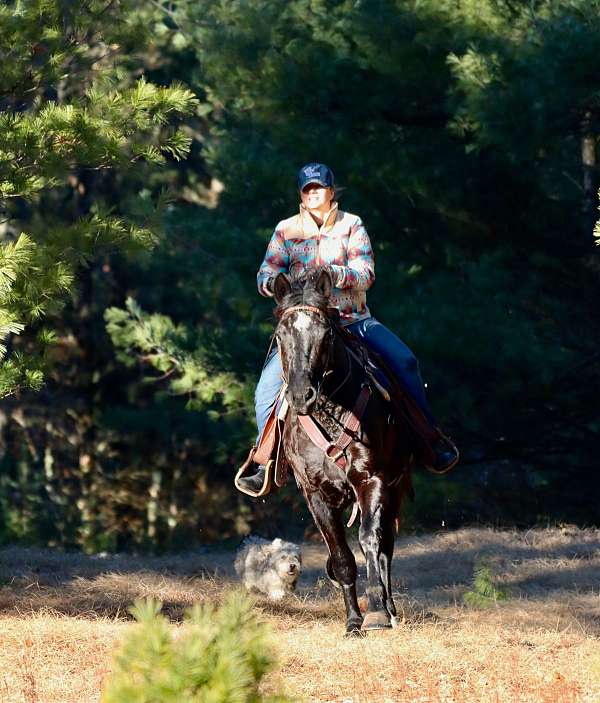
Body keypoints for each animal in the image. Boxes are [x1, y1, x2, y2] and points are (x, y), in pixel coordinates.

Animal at [274, 268, 418, 640]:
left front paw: (377, 613)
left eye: (325, 333)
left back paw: (390, 608)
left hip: (395, 486)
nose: (301, 395)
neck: (330, 410)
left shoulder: (372, 480)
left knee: (385, 545)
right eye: (280, 335)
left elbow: (370, 541)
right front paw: (353, 621)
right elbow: (340, 557)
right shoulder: (315, 493)